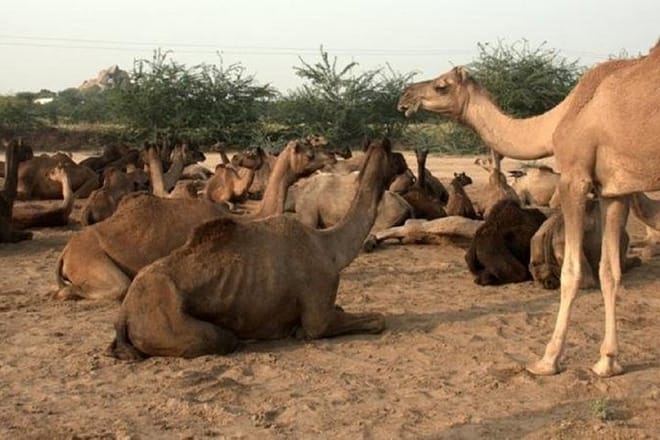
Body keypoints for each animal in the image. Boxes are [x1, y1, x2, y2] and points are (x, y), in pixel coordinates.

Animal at [108, 138, 404, 360]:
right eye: (397, 158)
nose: (408, 174)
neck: (330, 247)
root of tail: (124, 315)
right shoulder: (318, 314)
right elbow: (377, 320)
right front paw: (296, 331)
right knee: (225, 338)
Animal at [398, 42, 660, 376]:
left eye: (441, 86)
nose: (404, 97)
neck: (560, 119)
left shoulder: (574, 179)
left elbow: (572, 272)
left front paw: (548, 360)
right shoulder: (615, 190)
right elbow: (610, 271)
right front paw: (607, 362)